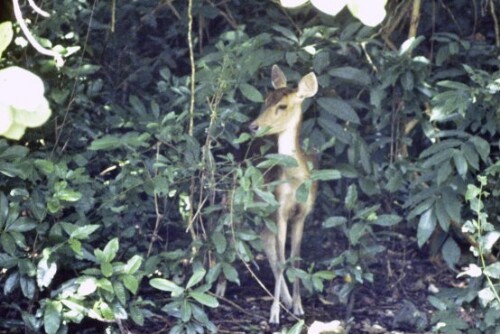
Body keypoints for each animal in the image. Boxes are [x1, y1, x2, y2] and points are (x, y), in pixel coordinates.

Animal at [248, 64, 318, 324]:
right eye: (266, 99)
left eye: (283, 105)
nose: (253, 126)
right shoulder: (279, 210)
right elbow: (281, 262)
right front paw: (274, 315)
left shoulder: (302, 214)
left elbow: (294, 258)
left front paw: (298, 307)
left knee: (265, 242)